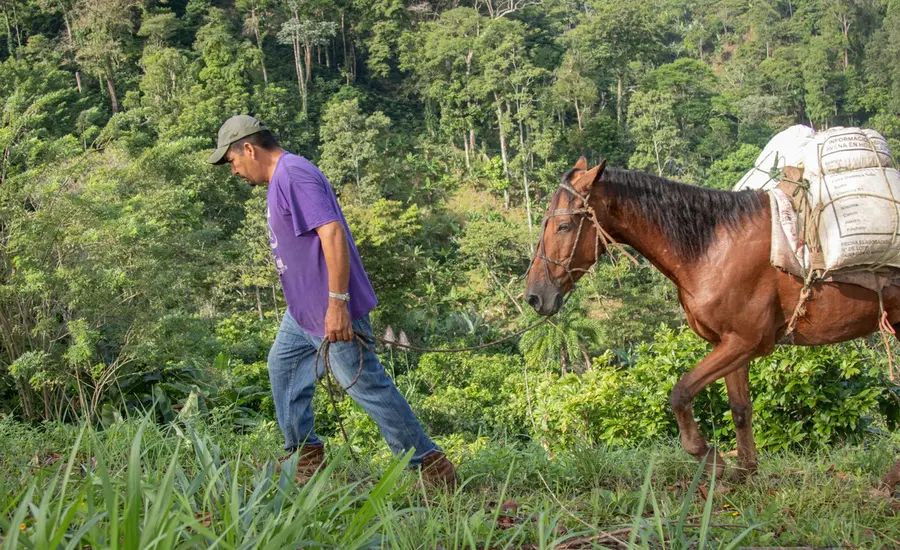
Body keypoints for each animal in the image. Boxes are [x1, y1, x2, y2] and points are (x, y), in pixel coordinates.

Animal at [524, 156, 900, 490]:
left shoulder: (745, 341)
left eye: (564, 226)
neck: (713, 246)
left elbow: (680, 393)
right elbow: (740, 410)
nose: (534, 296)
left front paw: (710, 459)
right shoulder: (732, 343)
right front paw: (745, 473)